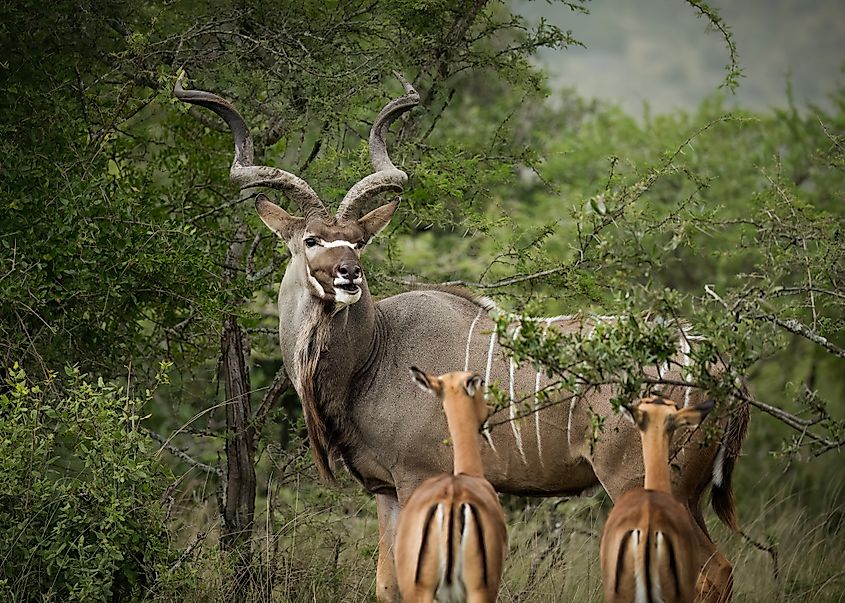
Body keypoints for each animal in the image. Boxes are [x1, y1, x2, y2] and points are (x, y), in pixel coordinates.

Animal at [396, 368, 507, 603]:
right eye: (481, 385)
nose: (490, 408)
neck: (469, 474)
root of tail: (452, 498)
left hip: (421, 592)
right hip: (479, 591)